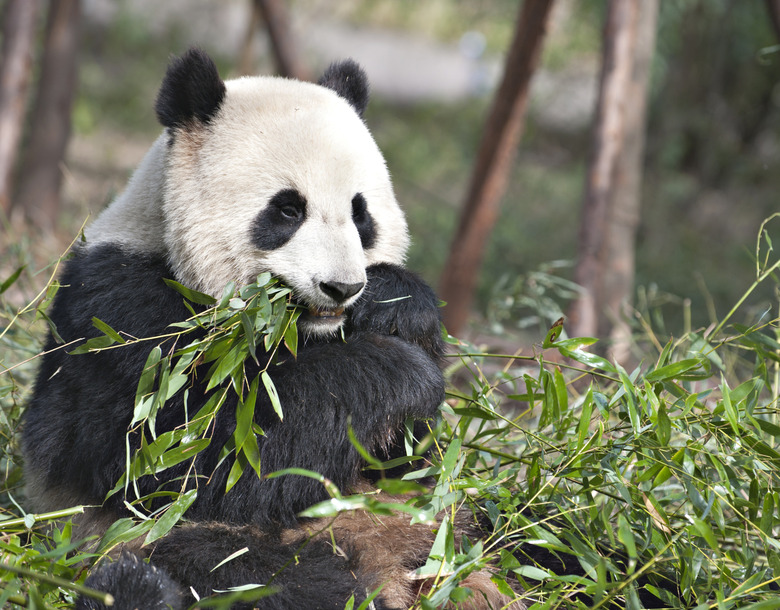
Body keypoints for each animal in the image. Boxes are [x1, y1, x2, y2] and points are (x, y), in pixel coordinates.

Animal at [22, 48, 524, 608]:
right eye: (287, 209)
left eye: (360, 213)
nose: (342, 288)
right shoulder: (122, 314)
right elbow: (185, 455)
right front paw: (398, 369)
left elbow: (410, 457)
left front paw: (395, 306)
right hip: (206, 543)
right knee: (252, 574)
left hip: (470, 521)